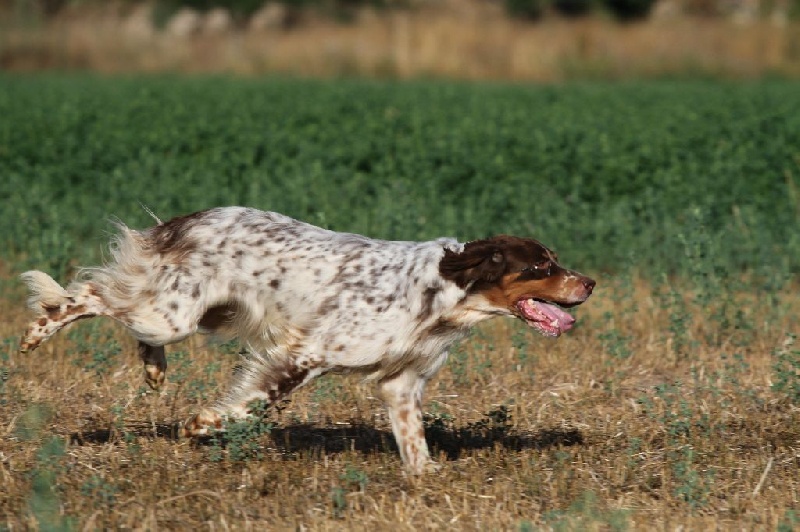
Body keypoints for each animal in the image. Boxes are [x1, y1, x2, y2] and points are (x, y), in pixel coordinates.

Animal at [18, 207, 592, 474]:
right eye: (541, 267)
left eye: (554, 261)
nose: (588, 283)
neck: (442, 290)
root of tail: (189, 220)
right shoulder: (310, 352)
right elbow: (255, 400)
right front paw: (203, 425)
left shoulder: (402, 385)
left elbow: (415, 444)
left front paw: (427, 477)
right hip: (172, 312)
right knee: (89, 294)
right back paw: (37, 332)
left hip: (203, 313)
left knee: (132, 324)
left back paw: (154, 367)